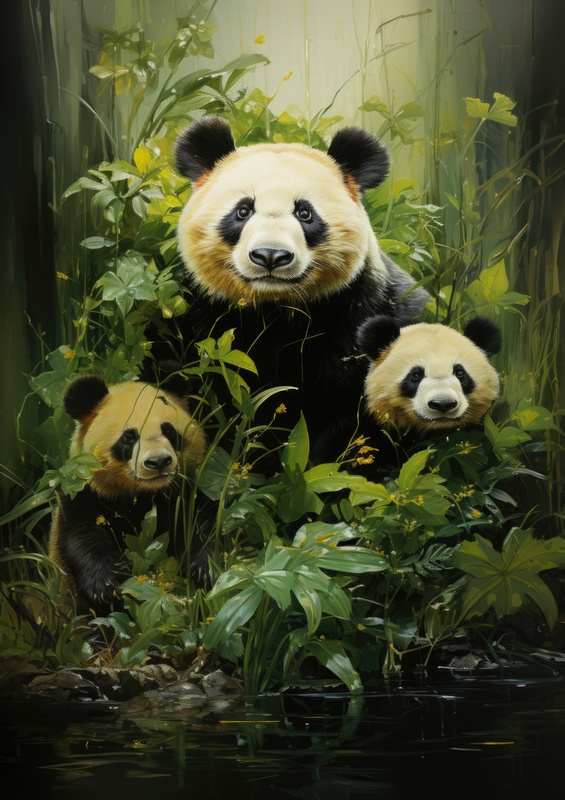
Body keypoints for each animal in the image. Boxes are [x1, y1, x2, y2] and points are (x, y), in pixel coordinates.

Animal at [48, 376, 206, 614]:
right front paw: (104, 586)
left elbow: (196, 525)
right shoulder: (83, 496)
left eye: (169, 431)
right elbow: (82, 539)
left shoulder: (184, 492)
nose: (159, 461)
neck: (141, 494)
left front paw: (203, 569)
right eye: (129, 437)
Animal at [144, 116, 429, 463]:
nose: (270, 255)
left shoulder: (362, 312)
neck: (275, 308)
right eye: (243, 211)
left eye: (305, 213)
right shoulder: (195, 317)